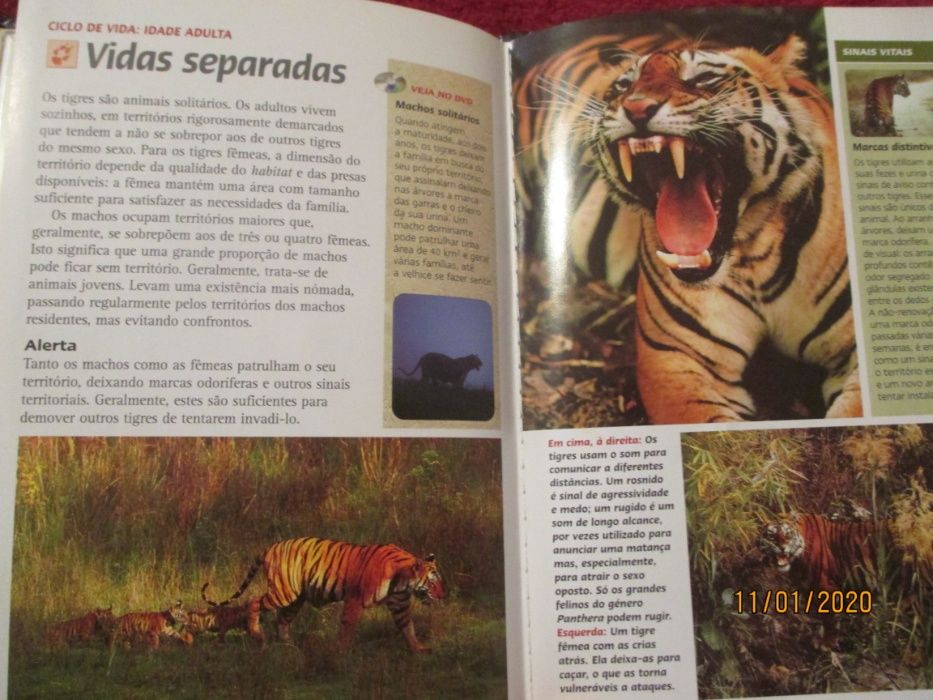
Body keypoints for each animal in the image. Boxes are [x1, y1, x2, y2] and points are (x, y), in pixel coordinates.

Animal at [202, 537, 445, 652]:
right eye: (433, 582)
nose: (443, 596)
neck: (402, 582)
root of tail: (270, 547)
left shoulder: (399, 604)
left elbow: (407, 627)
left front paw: (418, 648)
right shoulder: (355, 598)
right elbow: (348, 625)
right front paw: (341, 650)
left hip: (295, 599)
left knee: (282, 619)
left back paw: (288, 644)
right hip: (283, 592)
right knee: (253, 602)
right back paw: (256, 634)